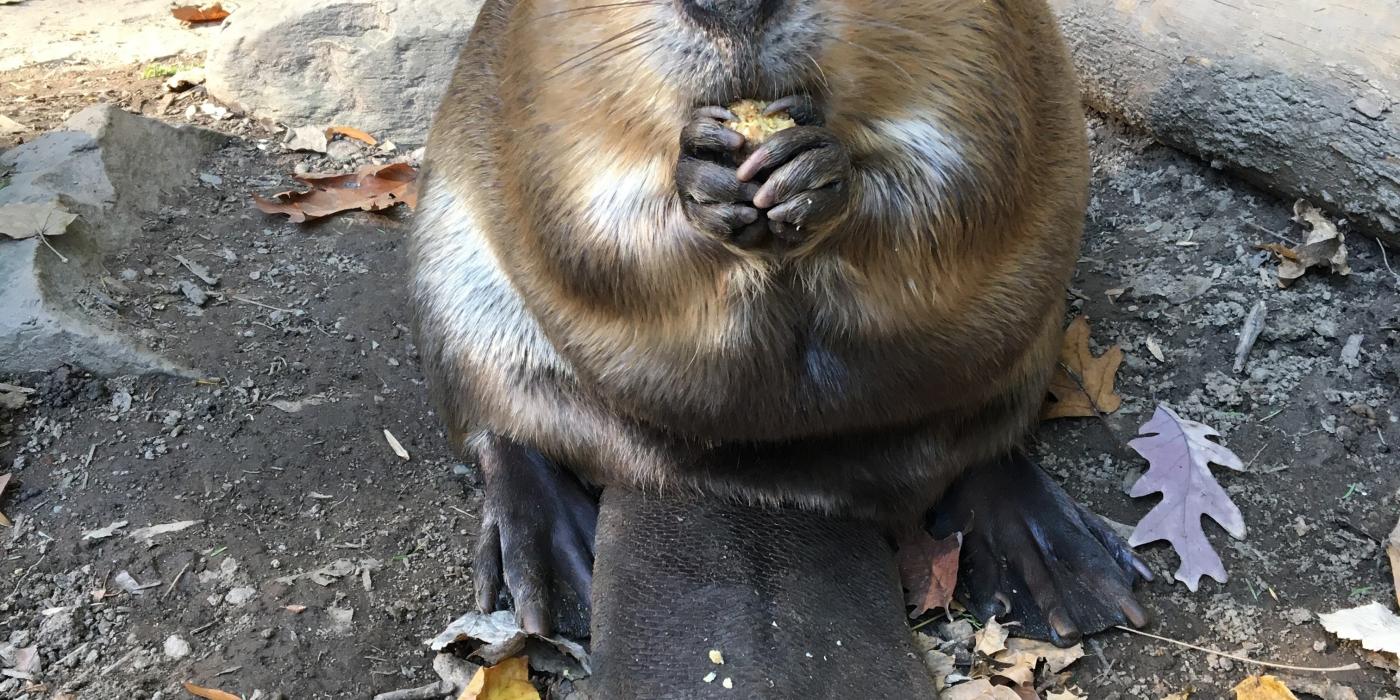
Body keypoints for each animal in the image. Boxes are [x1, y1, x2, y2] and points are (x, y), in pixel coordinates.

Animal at [408, 0, 1153, 691]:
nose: (731, 7)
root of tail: (767, 492)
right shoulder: (537, 64)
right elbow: (580, 223)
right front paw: (706, 179)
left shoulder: (993, 43)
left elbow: (971, 181)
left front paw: (811, 173)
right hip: (450, 280)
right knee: (500, 428)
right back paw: (551, 573)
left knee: (986, 445)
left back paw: (1063, 571)